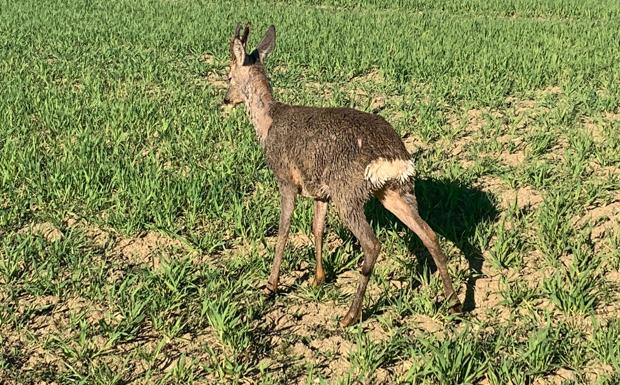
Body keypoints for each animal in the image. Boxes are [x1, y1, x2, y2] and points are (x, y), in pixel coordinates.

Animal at [225, 24, 462, 326]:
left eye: (228, 75)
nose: (225, 98)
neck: (268, 123)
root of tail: (391, 157)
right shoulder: (320, 192)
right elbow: (317, 228)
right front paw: (318, 278)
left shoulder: (286, 179)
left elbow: (284, 230)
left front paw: (270, 286)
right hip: (398, 190)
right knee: (429, 235)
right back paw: (455, 302)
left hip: (348, 192)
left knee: (372, 244)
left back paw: (350, 315)